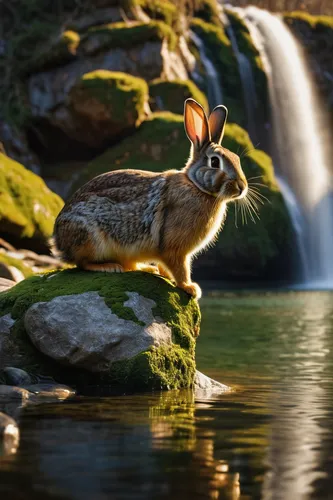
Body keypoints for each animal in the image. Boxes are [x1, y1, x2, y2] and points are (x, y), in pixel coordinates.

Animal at [53, 99, 246, 298]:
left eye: (236, 159)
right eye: (215, 162)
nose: (242, 187)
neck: (196, 186)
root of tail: (58, 239)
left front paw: (169, 277)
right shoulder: (175, 249)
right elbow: (180, 268)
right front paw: (190, 288)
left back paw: (146, 268)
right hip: (92, 238)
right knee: (82, 263)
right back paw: (109, 267)